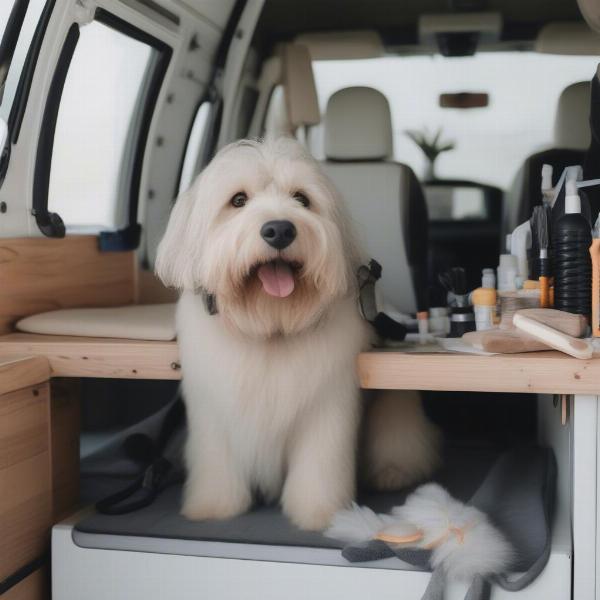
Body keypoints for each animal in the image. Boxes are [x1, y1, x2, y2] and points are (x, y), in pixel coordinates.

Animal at [157, 139, 438, 528]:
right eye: (238, 200)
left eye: (302, 199)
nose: (279, 230)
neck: (271, 326)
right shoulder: (214, 407)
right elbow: (217, 460)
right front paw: (214, 507)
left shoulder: (326, 407)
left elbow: (319, 464)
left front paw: (320, 514)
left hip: (395, 408)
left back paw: (392, 472)